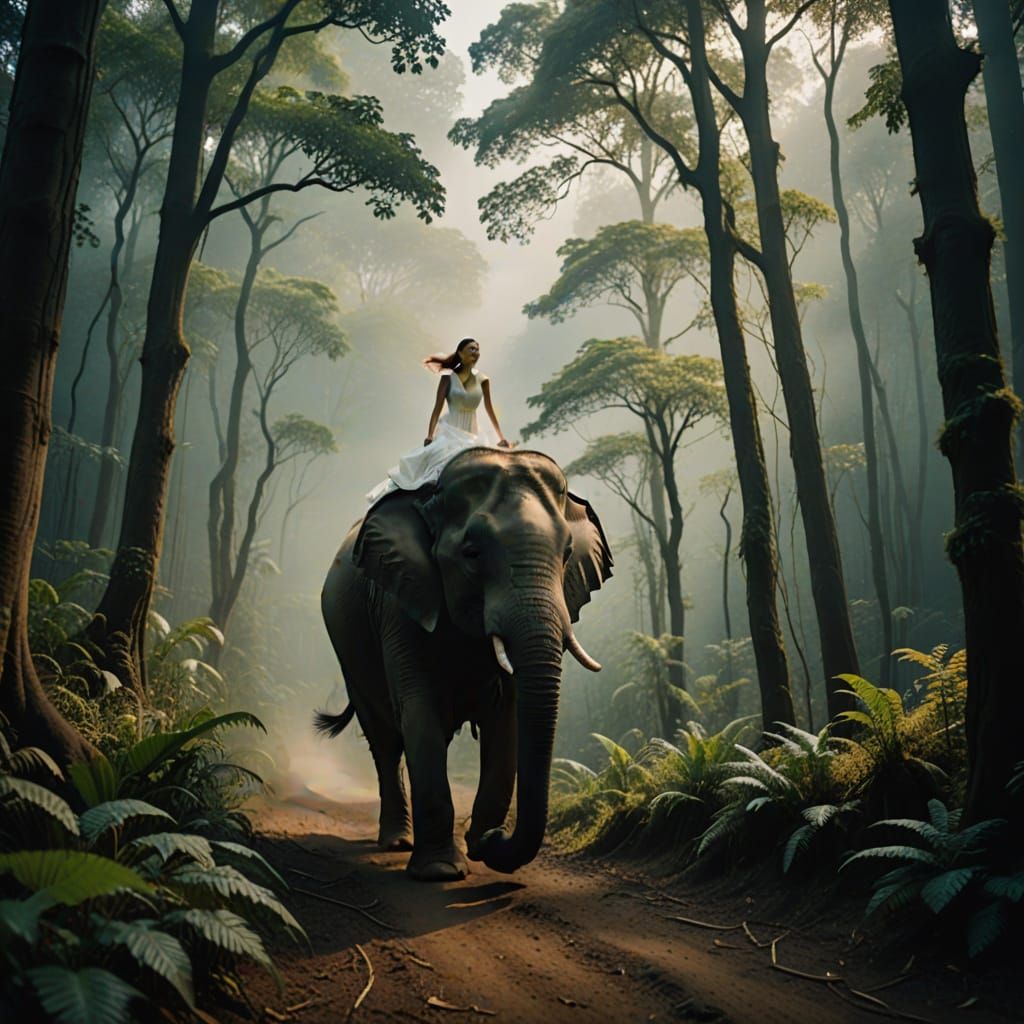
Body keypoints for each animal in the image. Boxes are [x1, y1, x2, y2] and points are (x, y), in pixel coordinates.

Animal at [316, 447, 612, 881]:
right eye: (472, 554)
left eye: (568, 554)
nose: (490, 838)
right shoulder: (400, 602)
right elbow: (418, 709)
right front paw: (441, 871)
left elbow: (507, 717)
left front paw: (480, 844)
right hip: (348, 650)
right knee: (384, 740)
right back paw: (397, 842)